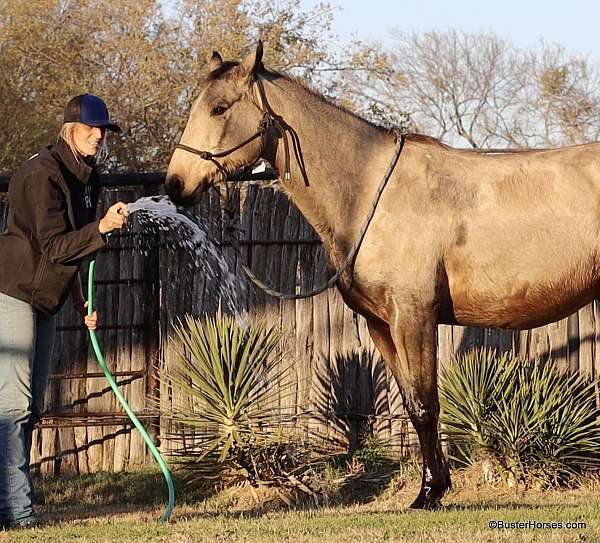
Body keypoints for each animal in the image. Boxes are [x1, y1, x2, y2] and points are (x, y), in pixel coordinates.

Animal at [162, 42, 600, 510]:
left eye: (220, 108)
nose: (175, 184)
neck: (371, 193)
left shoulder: (415, 318)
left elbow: (426, 405)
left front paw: (430, 493)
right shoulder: (380, 325)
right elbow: (410, 403)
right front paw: (433, 485)